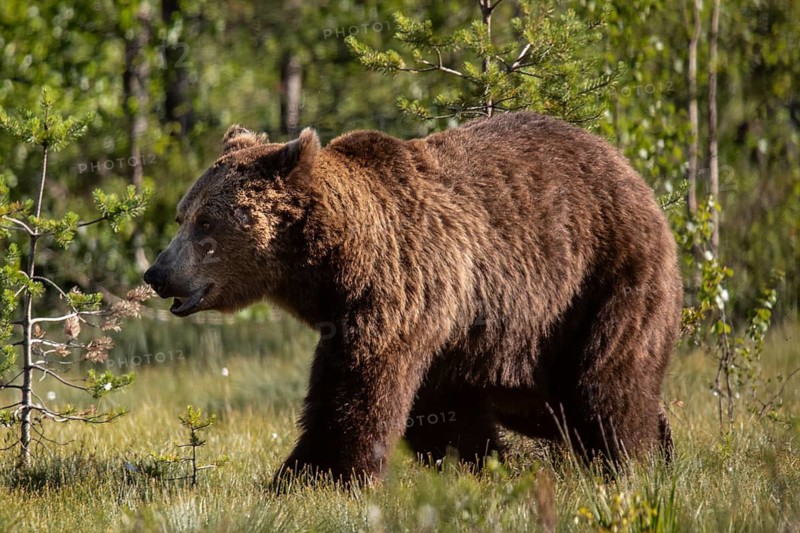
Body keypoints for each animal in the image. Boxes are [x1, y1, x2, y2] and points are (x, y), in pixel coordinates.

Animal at [143, 111, 683, 485]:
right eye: (182, 215)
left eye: (205, 223)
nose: (157, 273)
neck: (337, 264)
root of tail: (634, 174)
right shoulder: (439, 326)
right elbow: (437, 413)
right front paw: (485, 466)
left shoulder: (401, 291)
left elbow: (357, 392)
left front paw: (310, 477)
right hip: (531, 339)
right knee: (558, 403)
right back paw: (661, 446)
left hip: (603, 282)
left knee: (602, 385)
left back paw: (629, 460)